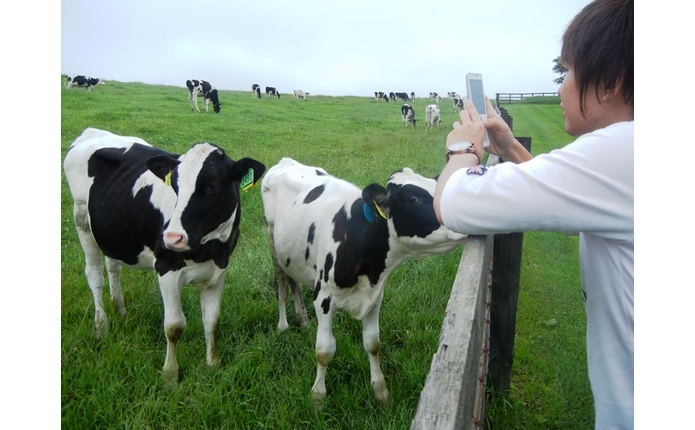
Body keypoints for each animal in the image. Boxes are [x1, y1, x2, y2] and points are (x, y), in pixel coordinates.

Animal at [63, 127, 266, 382]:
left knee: (113, 267)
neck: (210, 249)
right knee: (94, 274)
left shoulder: (219, 272)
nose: (171, 237)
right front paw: (170, 375)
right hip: (81, 216)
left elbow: (212, 321)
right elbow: (174, 326)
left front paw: (213, 365)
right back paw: (101, 326)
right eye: (175, 186)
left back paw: (119, 308)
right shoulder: (166, 269)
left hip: (111, 230)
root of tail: (92, 131)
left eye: (213, 185)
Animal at [260, 157, 468, 404]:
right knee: (282, 283)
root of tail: (286, 161)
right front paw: (317, 396)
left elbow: (373, 343)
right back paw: (283, 326)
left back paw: (302, 320)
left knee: (294, 282)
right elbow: (324, 350)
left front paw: (380, 391)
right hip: (273, 241)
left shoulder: (375, 296)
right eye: (412, 199)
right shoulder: (323, 298)